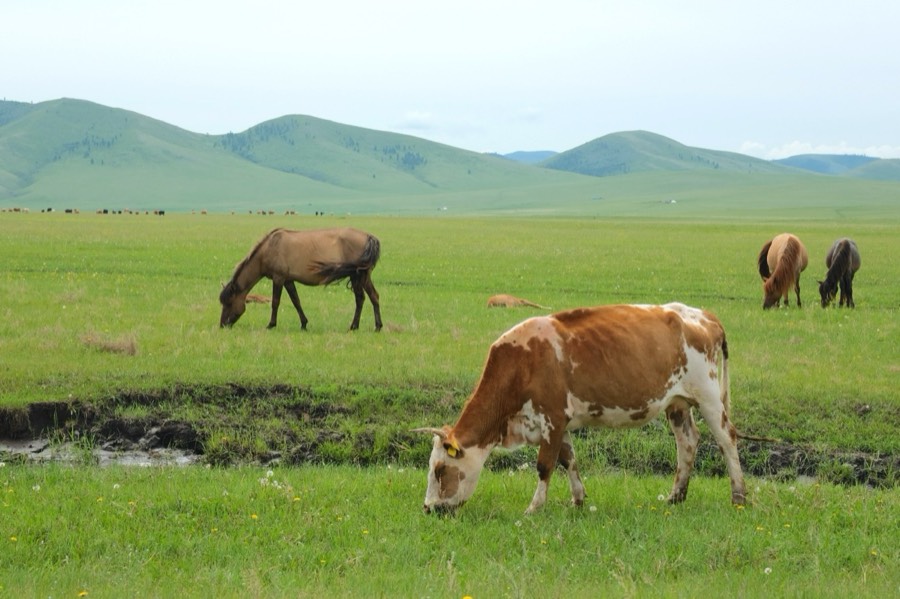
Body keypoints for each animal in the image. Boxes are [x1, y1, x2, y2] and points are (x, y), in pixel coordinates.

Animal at [219, 227, 382, 331]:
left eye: (229, 303)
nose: (222, 325)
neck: (269, 248)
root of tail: (370, 238)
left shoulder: (278, 278)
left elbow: (275, 302)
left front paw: (271, 324)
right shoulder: (288, 280)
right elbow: (296, 301)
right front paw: (304, 324)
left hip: (359, 276)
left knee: (364, 298)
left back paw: (365, 326)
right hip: (359, 277)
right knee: (368, 297)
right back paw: (368, 326)